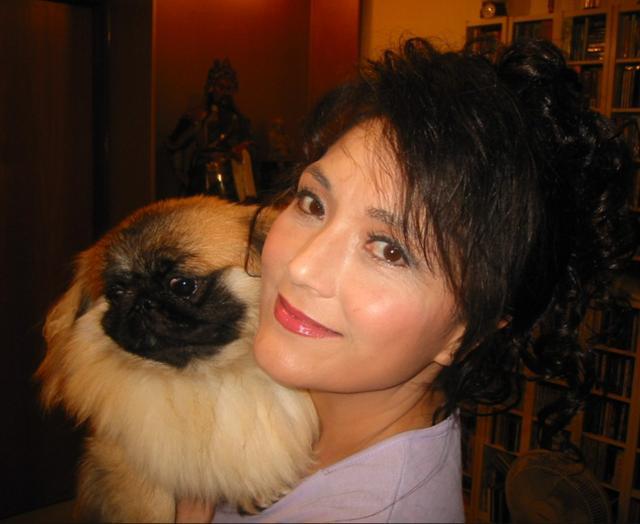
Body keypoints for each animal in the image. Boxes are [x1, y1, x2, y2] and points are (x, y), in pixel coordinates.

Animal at [36, 196, 318, 522]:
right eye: (117, 293)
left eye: (182, 285)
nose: (142, 302)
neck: (201, 377)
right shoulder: (125, 460)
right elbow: (153, 506)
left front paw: (254, 491)